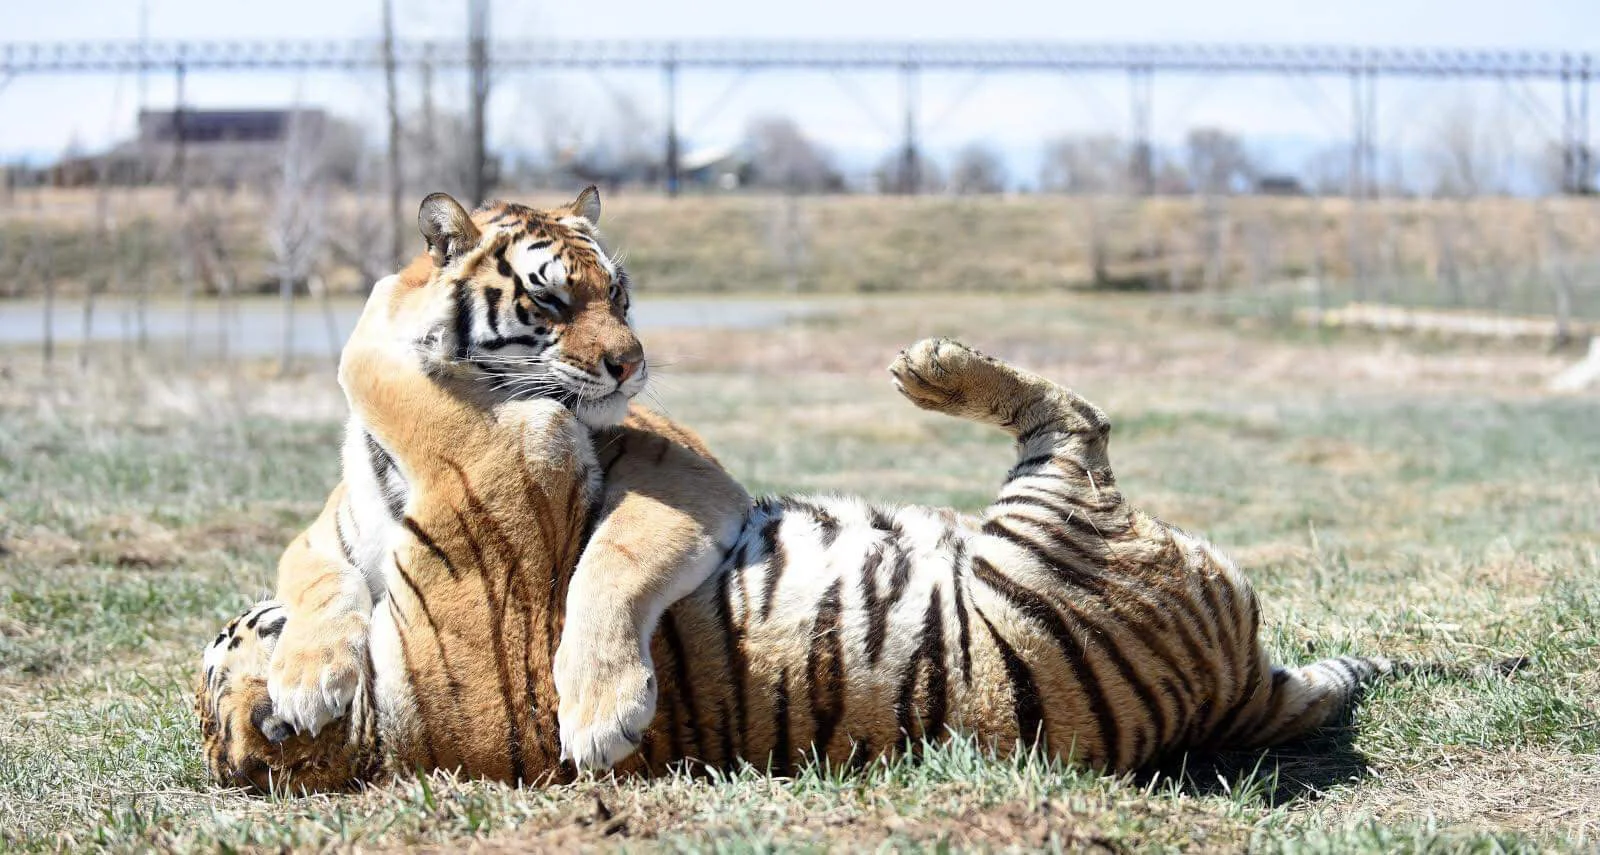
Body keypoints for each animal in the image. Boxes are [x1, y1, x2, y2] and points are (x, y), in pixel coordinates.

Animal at [197, 200, 1481, 789]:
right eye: (557, 302)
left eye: (623, 292)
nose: (630, 365)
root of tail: (1232, 690)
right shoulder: (493, 474)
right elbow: (375, 369)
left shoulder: (650, 465)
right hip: (1044, 535)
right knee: (1072, 419)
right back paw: (939, 367)